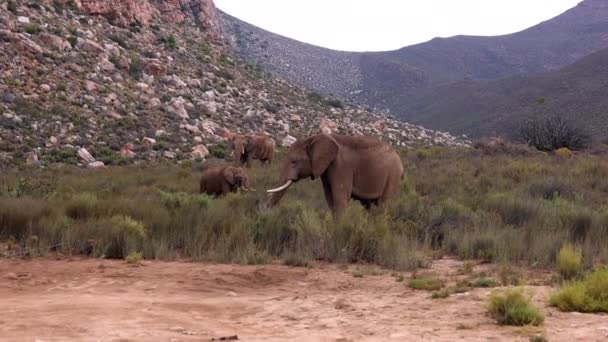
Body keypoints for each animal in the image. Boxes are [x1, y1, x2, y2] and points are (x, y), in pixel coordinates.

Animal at [266, 134, 404, 214]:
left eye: (294, 162)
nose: (266, 212)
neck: (315, 139)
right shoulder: (325, 168)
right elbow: (330, 197)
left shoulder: (341, 167)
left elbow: (340, 196)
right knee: (368, 205)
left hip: (393, 176)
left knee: (383, 204)